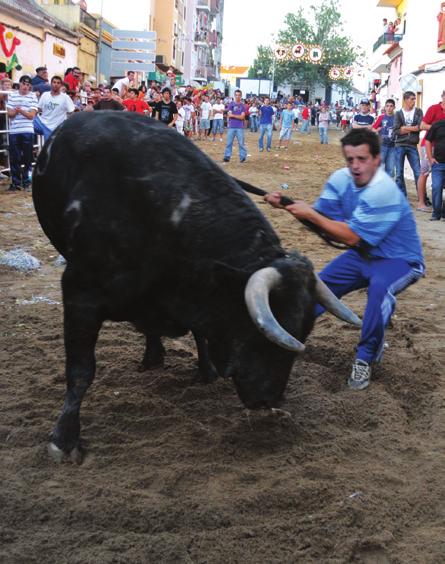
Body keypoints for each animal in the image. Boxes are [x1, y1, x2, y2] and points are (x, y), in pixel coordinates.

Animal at [33, 111, 360, 462]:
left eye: (304, 331)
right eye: (261, 333)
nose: (268, 400)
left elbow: (200, 330)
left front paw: (205, 370)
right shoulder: (79, 295)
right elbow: (81, 371)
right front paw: (65, 439)